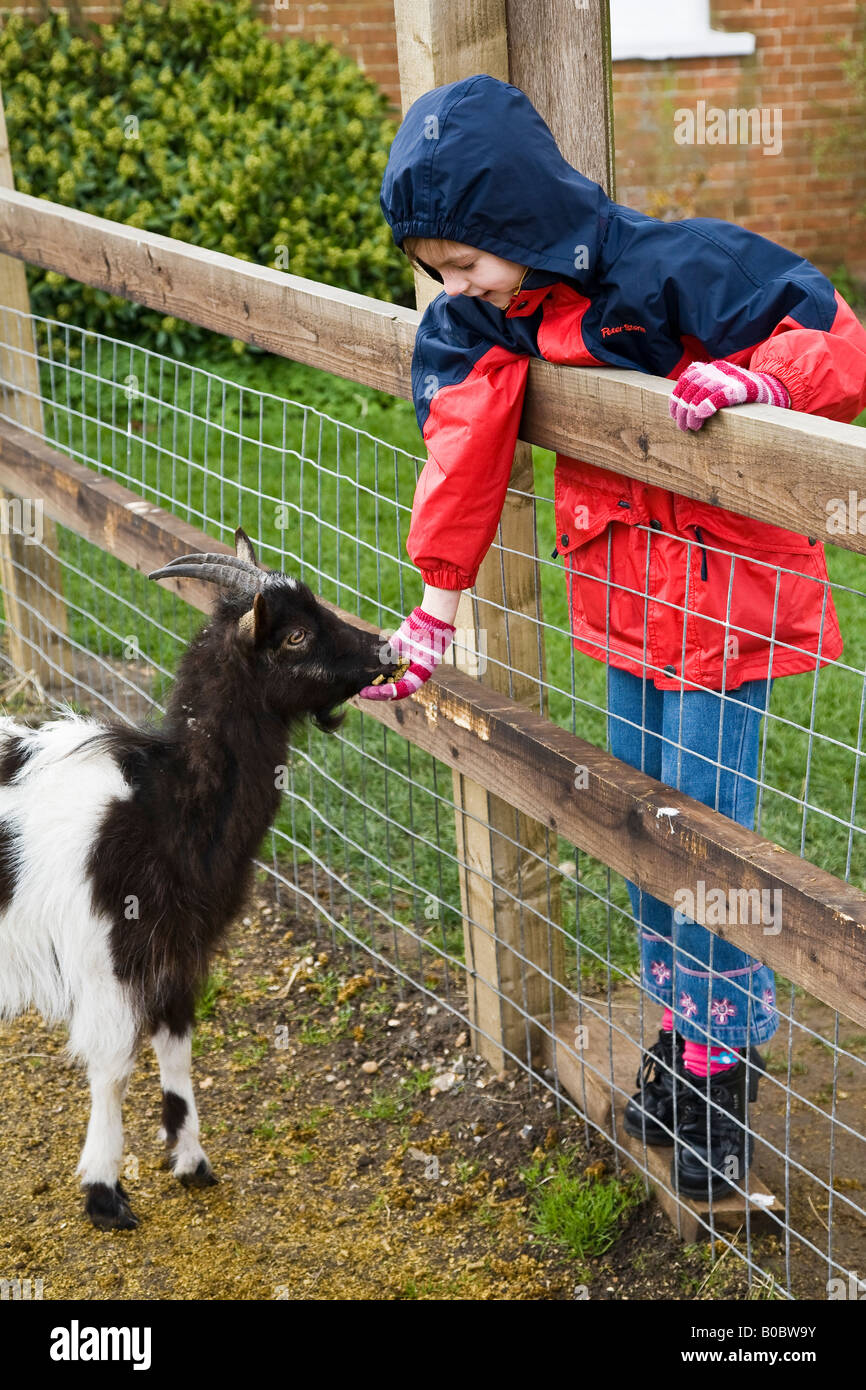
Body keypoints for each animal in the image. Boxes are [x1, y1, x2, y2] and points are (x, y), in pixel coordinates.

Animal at [0, 522, 397, 1228]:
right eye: (294, 636)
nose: (387, 650)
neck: (163, 803)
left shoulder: (180, 949)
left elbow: (177, 1046)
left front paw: (191, 1163)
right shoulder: (109, 954)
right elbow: (111, 1066)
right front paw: (104, 1193)